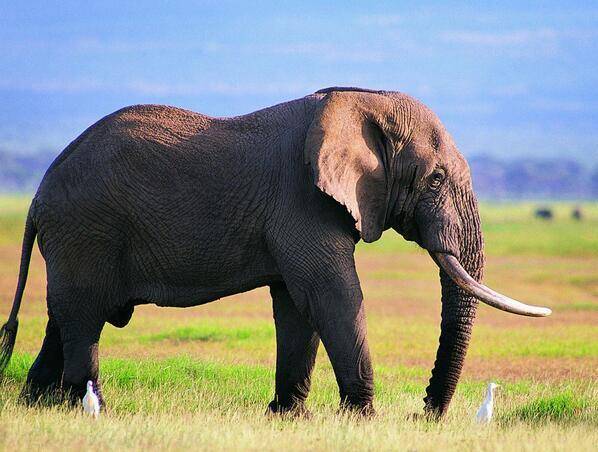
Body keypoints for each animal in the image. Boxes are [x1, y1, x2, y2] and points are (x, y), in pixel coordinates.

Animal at [0, 86, 552, 418]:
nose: (424, 413)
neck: (361, 99)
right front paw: (363, 419)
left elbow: (296, 306)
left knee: (63, 317)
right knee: (82, 318)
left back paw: (36, 404)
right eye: (435, 179)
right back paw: (87, 408)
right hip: (85, 230)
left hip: (76, 239)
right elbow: (333, 295)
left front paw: (291, 417)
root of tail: (37, 196)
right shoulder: (301, 200)